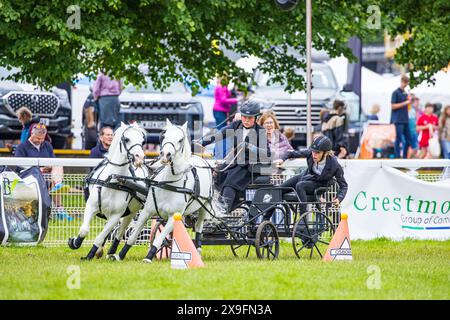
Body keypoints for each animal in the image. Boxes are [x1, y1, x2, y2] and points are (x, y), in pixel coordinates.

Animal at [68, 122, 149, 260]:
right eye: (126, 139)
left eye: (142, 141)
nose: (139, 158)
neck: (113, 182)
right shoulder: (91, 206)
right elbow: (84, 230)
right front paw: (74, 242)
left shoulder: (116, 216)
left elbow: (101, 237)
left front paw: (89, 255)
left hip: (131, 212)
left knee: (120, 231)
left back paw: (112, 252)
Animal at [112, 119, 218, 262]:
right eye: (164, 136)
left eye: (180, 139)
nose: (165, 155)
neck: (169, 183)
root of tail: (200, 158)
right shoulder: (147, 211)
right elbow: (133, 235)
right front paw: (120, 255)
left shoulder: (173, 217)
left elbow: (159, 239)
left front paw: (149, 257)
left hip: (204, 206)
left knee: (199, 227)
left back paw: (198, 251)